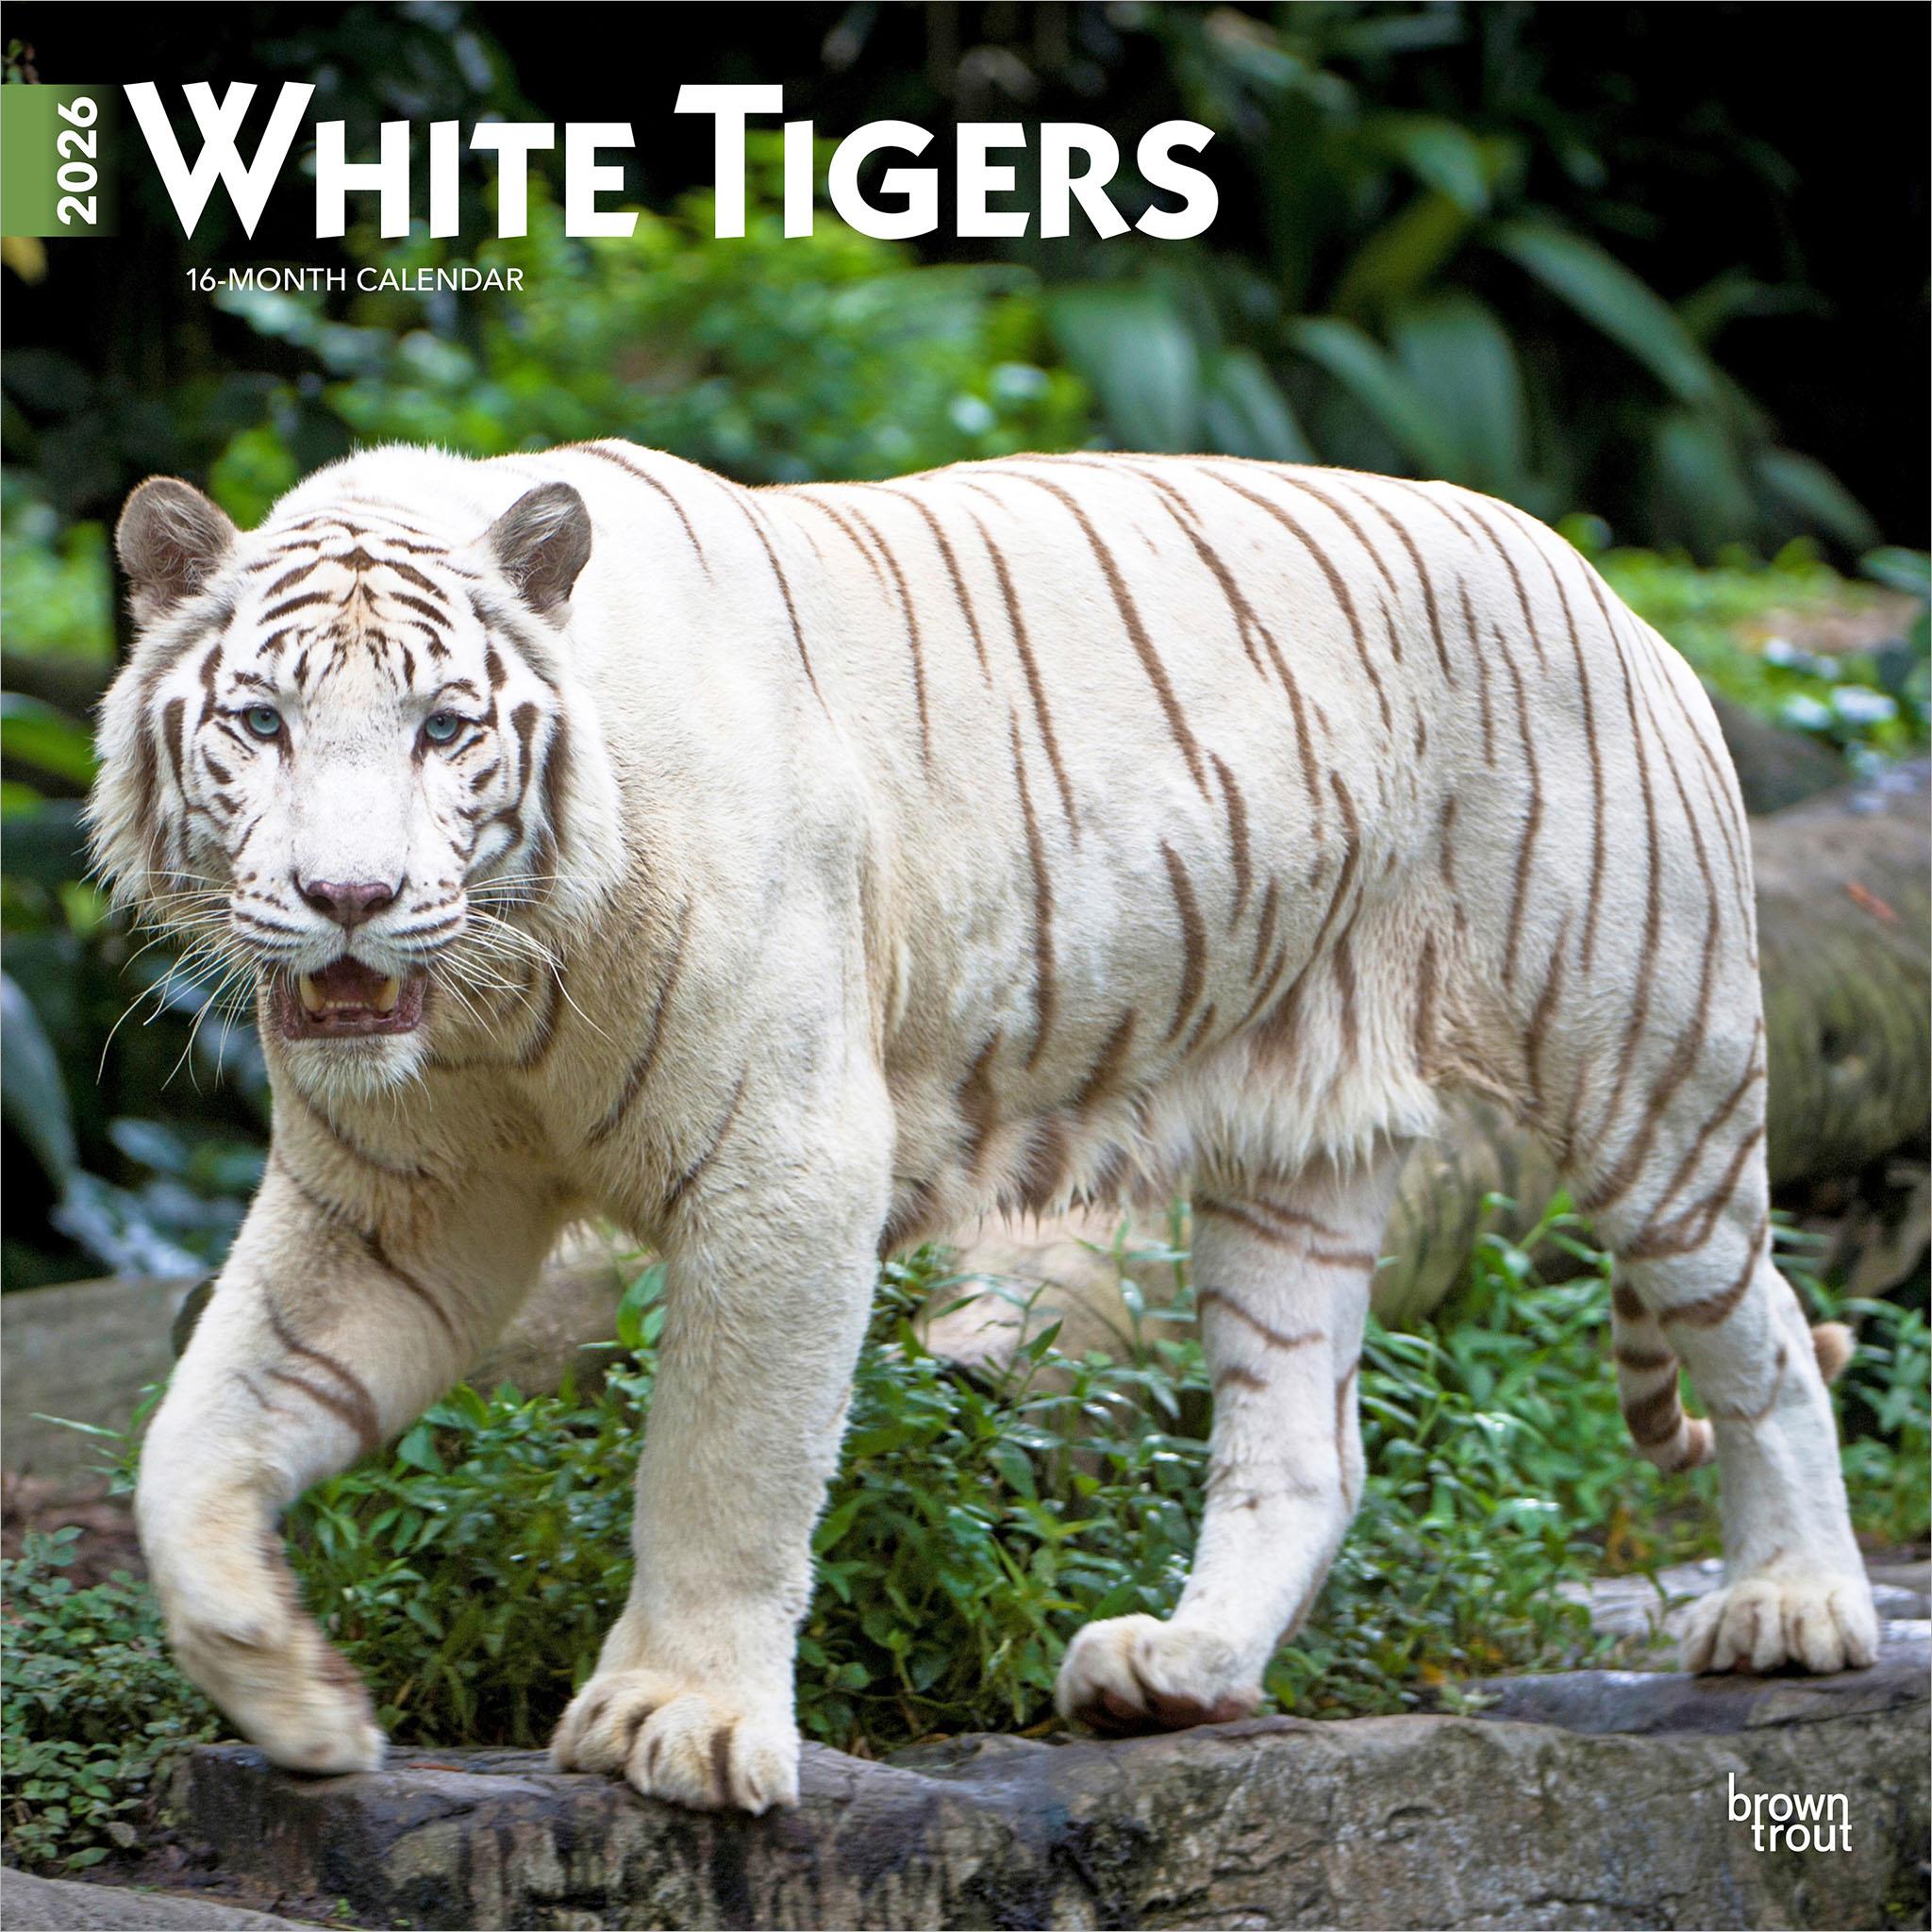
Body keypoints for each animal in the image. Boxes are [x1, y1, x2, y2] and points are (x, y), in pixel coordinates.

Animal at [91, 440, 1879, 1815]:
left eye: (444, 729)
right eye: (259, 722)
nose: (347, 898)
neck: (492, 1001)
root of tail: (1593, 571)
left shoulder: (786, 1168)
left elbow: (723, 1467)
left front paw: (679, 1722)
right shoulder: (397, 1208)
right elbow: (190, 1443)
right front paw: (302, 1702)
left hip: (1642, 1054)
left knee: (1766, 1331)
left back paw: (1795, 1610)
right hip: (1288, 1152)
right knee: (1305, 1444)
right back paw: (1180, 1668)